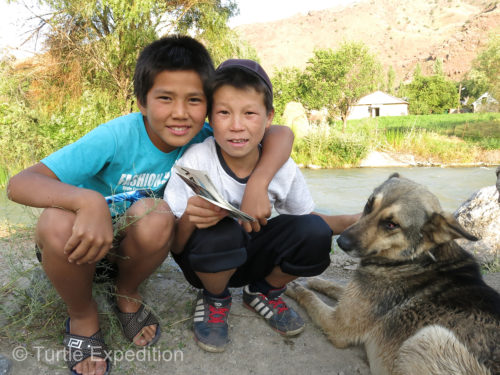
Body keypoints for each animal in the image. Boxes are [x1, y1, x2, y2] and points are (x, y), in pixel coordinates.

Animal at [286, 175, 500, 374]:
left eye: (391, 224)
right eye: (369, 205)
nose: (340, 242)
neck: (414, 259)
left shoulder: (338, 325)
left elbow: (311, 298)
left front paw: (294, 288)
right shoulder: (354, 300)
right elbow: (335, 286)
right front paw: (315, 280)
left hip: (427, 336)